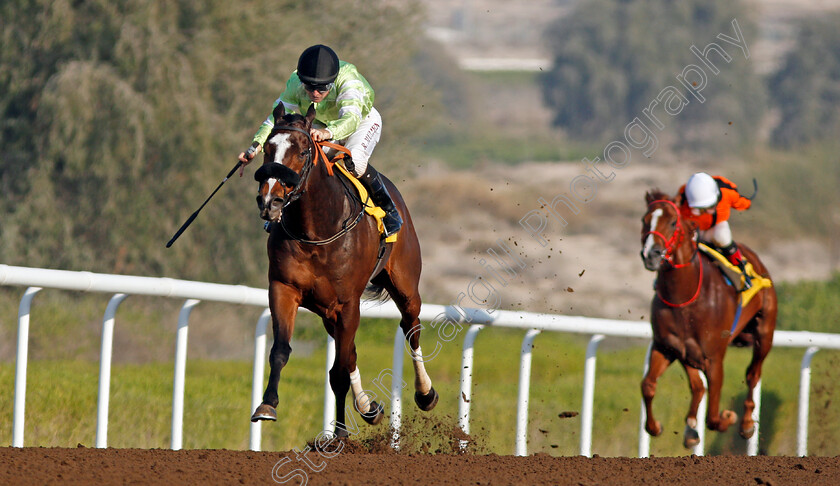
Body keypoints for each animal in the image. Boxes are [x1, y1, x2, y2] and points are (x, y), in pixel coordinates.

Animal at [249, 102, 440, 436]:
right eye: (268, 149)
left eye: (302, 151)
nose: (269, 201)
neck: (316, 230)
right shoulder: (284, 288)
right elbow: (282, 350)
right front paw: (267, 405)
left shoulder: (349, 303)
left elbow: (338, 372)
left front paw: (339, 433)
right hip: (328, 313)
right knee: (350, 353)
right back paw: (367, 407)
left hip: (404, 285)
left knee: (411, 328)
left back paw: (425, 393)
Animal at [640, 189, 776, 448]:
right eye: (644, 220)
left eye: (672, 222)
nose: (650, 255)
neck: (684, 296)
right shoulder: (667, 346)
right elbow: (648, 385)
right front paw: (655, 427)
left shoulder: (714, 357)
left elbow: (713, 417)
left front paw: (728, 418)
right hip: (689, 354)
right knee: (697, 386)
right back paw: (691, 430)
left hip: (764, 333)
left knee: (753, 375)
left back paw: (746, 424)